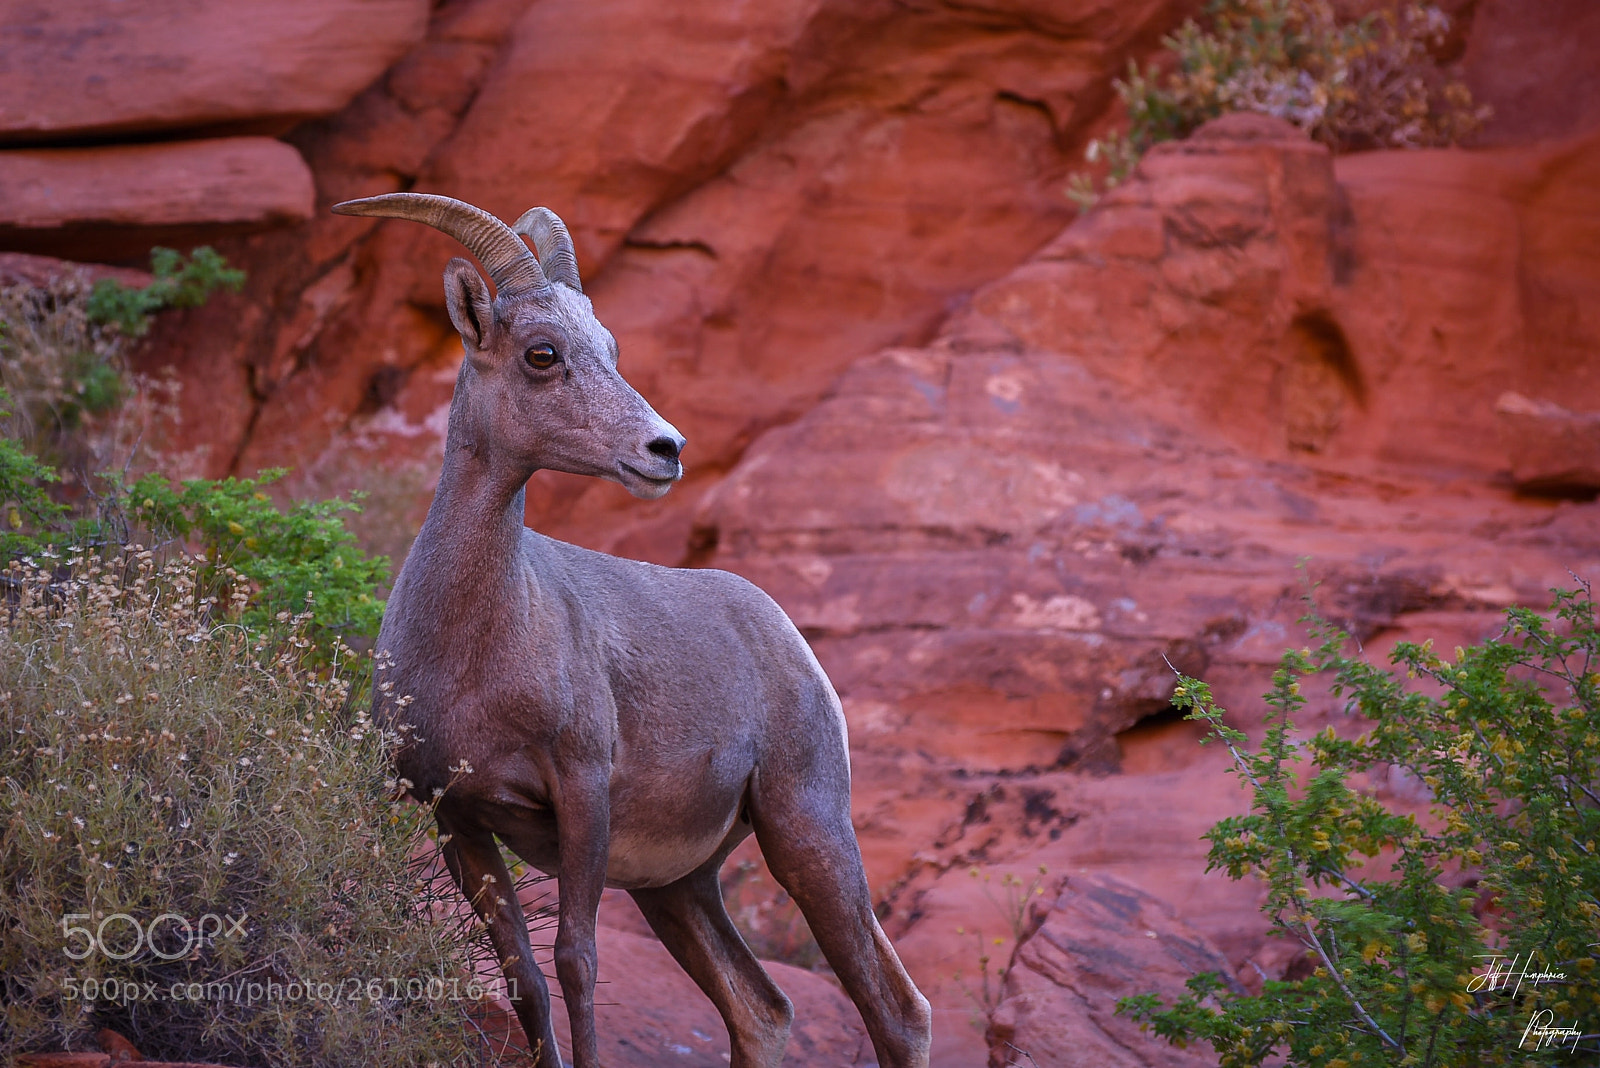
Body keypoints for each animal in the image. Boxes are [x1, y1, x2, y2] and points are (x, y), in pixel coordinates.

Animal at [332, 192, 932, 1068]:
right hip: (678, 887)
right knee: (761, 1009)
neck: (475, 652)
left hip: (807, 830)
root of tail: (787, 637)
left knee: (894, 1008)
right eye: (543, 353)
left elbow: (577, 961)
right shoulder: (458, 820)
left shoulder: (582, 794)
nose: (666, 448)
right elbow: (525, 977)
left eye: (611, 348)